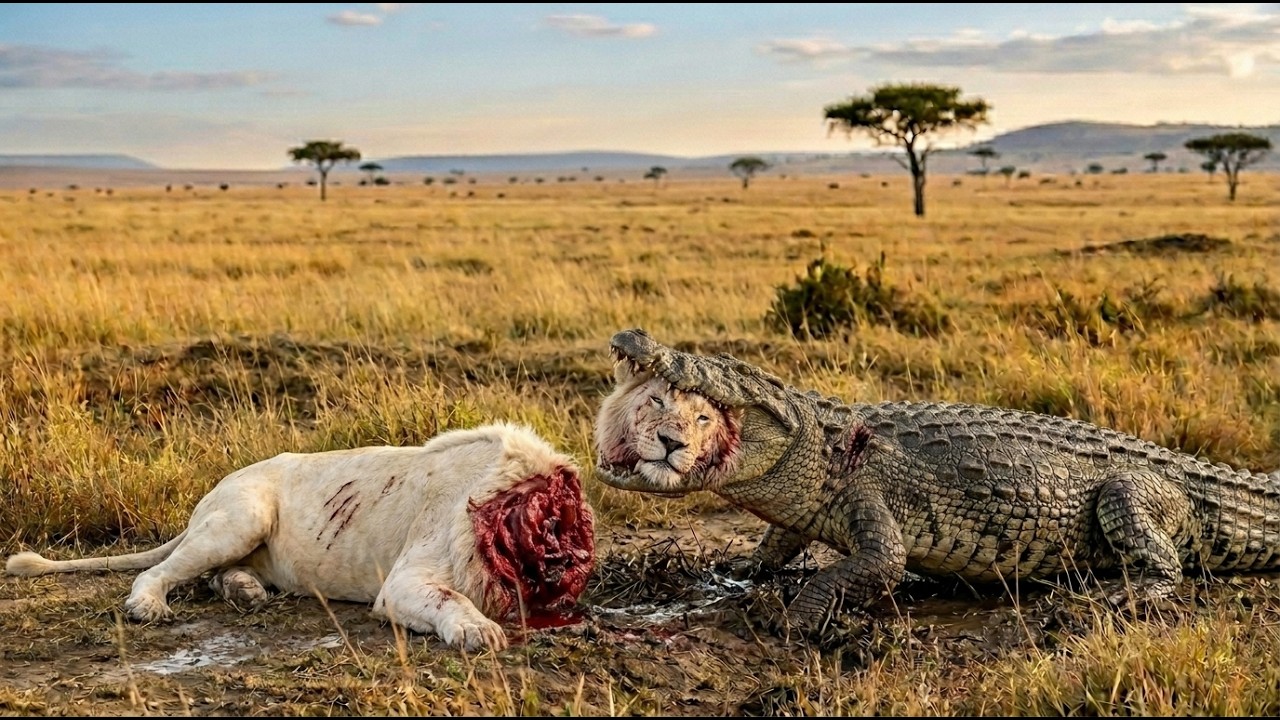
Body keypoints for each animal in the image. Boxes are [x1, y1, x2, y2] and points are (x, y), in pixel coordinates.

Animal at [6, 422, 595, 652]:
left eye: (574, 523)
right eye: (547, 524)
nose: (570, 561)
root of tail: (212, 493)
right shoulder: (402, 584)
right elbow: (450, 599)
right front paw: (478, 632)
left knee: (214, 576)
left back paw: (246, 593)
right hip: (242, 515)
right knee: (160, 571)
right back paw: (149, 607)